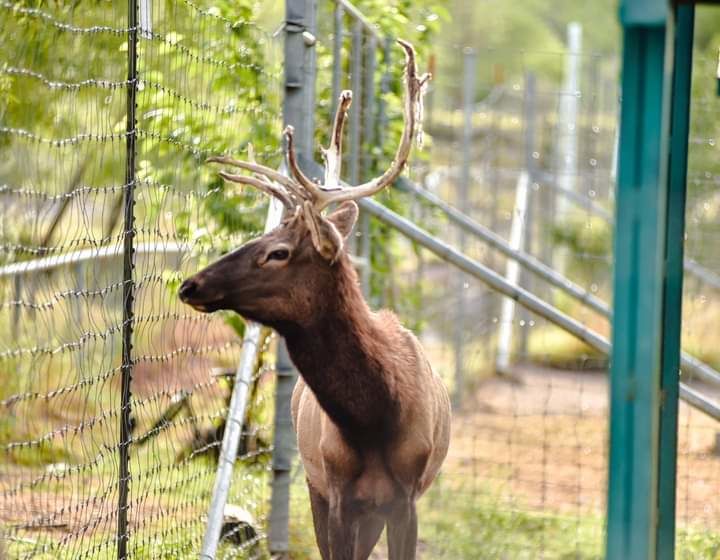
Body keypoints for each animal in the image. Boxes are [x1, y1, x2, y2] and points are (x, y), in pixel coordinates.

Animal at [180, 40, 450, 560]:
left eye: (278, 252)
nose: (190, 285)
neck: (373, 422)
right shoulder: (337, 491)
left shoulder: (406, 499)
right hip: (316, 485)